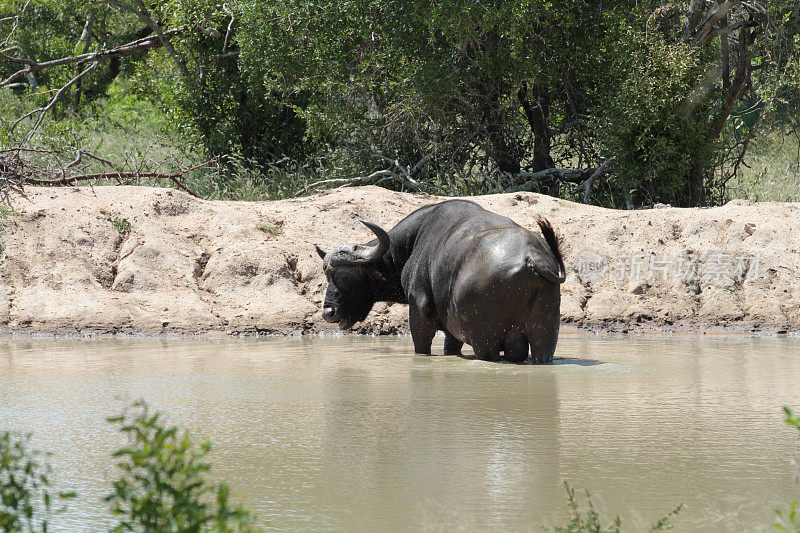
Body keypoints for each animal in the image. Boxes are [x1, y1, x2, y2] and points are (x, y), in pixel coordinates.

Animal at [316, 200, 564, 362]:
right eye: (326, 275)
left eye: (345, 277)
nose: (328, 312)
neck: (414, 243)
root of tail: (532, 259)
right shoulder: (452, 333)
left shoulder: (419, 314)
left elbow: (421, 346)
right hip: (545, 339)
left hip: (486, 342)